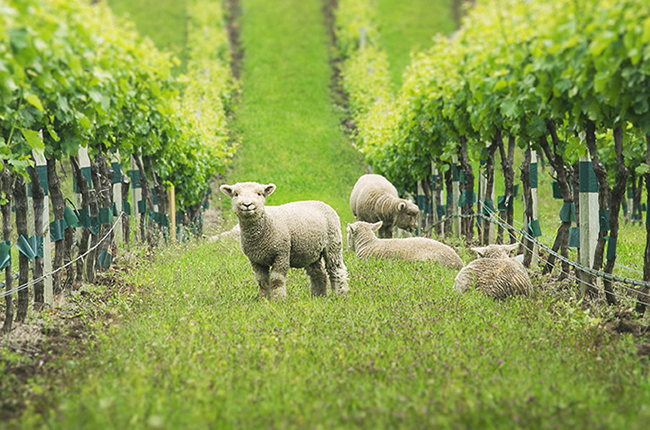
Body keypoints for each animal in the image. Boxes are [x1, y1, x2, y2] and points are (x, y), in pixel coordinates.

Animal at [220, 181, 349, 299]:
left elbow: (276, 279)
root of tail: (320, 202)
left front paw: (279, 299)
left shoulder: (281, 253)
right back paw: (318, 296)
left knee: (336, 269)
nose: (247, 204)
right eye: (236, 194)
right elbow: (262, 280)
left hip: (333, 243)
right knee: (319, 273)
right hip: (310, 252)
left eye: (259, 194)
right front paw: (263, 299)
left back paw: (340, 293)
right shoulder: (255, 260)